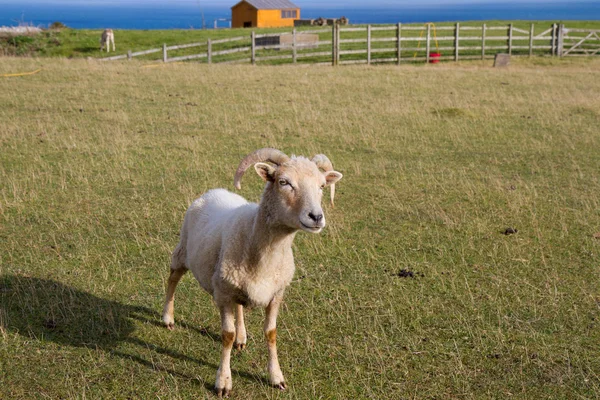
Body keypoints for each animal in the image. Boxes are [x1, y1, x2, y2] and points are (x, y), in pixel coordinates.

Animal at [162, 148, 342, 396]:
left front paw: (276, 377)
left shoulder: (276, 294)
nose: (316, 217)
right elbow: (226, 336)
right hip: (183, 252)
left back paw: (242, 336)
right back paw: (168, 317)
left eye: (322, 186)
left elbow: (271, 333)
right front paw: (223, 381)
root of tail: (214, 191)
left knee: (239, 307)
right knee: (172, 278)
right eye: (283, 182)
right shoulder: (223, 295)